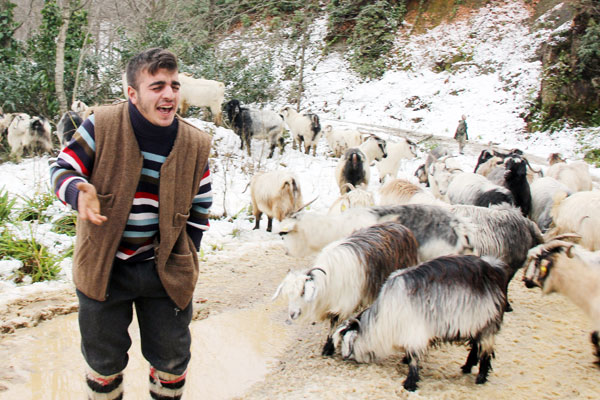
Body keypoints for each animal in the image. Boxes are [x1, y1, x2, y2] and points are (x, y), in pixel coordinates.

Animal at [272, 222, 418, 356]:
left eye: (303, 292)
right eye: (289, 295)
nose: (292, 314)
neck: (327, 281)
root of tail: (401, 226)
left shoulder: (343, 303)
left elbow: (334, 322)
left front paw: (329, 347)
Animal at [330, 255, 508, 392]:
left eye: (346, 340)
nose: (344, 357)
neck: (383, 322)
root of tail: (494, 269)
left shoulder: (415, 333)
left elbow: (414, 359)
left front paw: (409, 384)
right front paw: (405, 361)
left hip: (487, 324)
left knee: (485, 352)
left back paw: (481, 377)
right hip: (476, 325)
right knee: (476, 347)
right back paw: (467, 367)